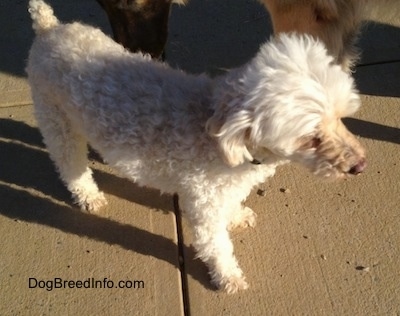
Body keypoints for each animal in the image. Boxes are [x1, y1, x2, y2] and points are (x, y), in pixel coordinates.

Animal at [27, 0, 366, 294]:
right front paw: (228, 277)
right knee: (69, 163)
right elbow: (215, 246)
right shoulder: (204, 205)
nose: (360, 165)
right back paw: (88, 195)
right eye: (311, 137)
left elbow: (231, 206)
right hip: (56, 120)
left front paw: (236, 216)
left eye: (340, 118)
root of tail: (48, 27)